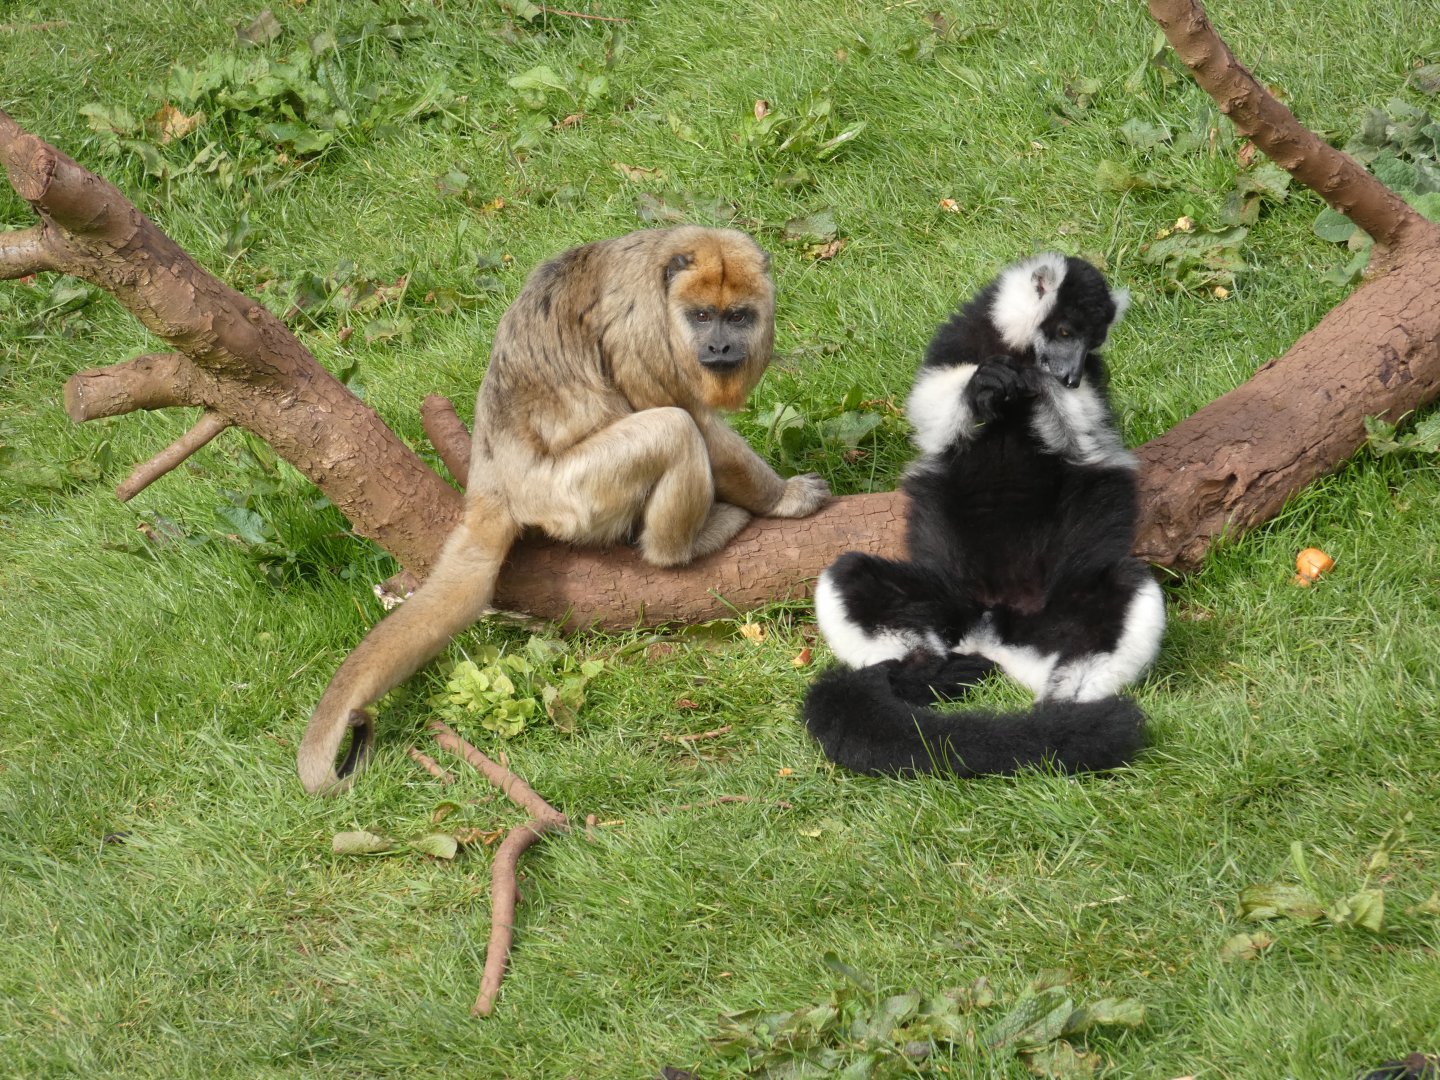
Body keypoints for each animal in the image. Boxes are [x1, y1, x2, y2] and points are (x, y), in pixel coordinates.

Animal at [299, 226, 830, 794]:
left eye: (739, 316)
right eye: (702, 315)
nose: (720, 345)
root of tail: (493, 475)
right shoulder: (639, 328)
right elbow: (697, 423)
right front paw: (783, 496)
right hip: (569, 494)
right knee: (674, 428)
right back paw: (684, 545)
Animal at [801, 252, 1164, 778]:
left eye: (1091, 342)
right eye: (1064, 331)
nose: (1069, 376)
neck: (1016, 348)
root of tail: (991, 630)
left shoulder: (1096, 379)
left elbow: (1086, 443)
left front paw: (1042, 389)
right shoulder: (954, 341)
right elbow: (933, 414)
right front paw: (984, 385)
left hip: (1046, 620)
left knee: (1123, 589)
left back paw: (1059, 713)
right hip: (947, 602)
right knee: (851, 576)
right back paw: (930, 677)